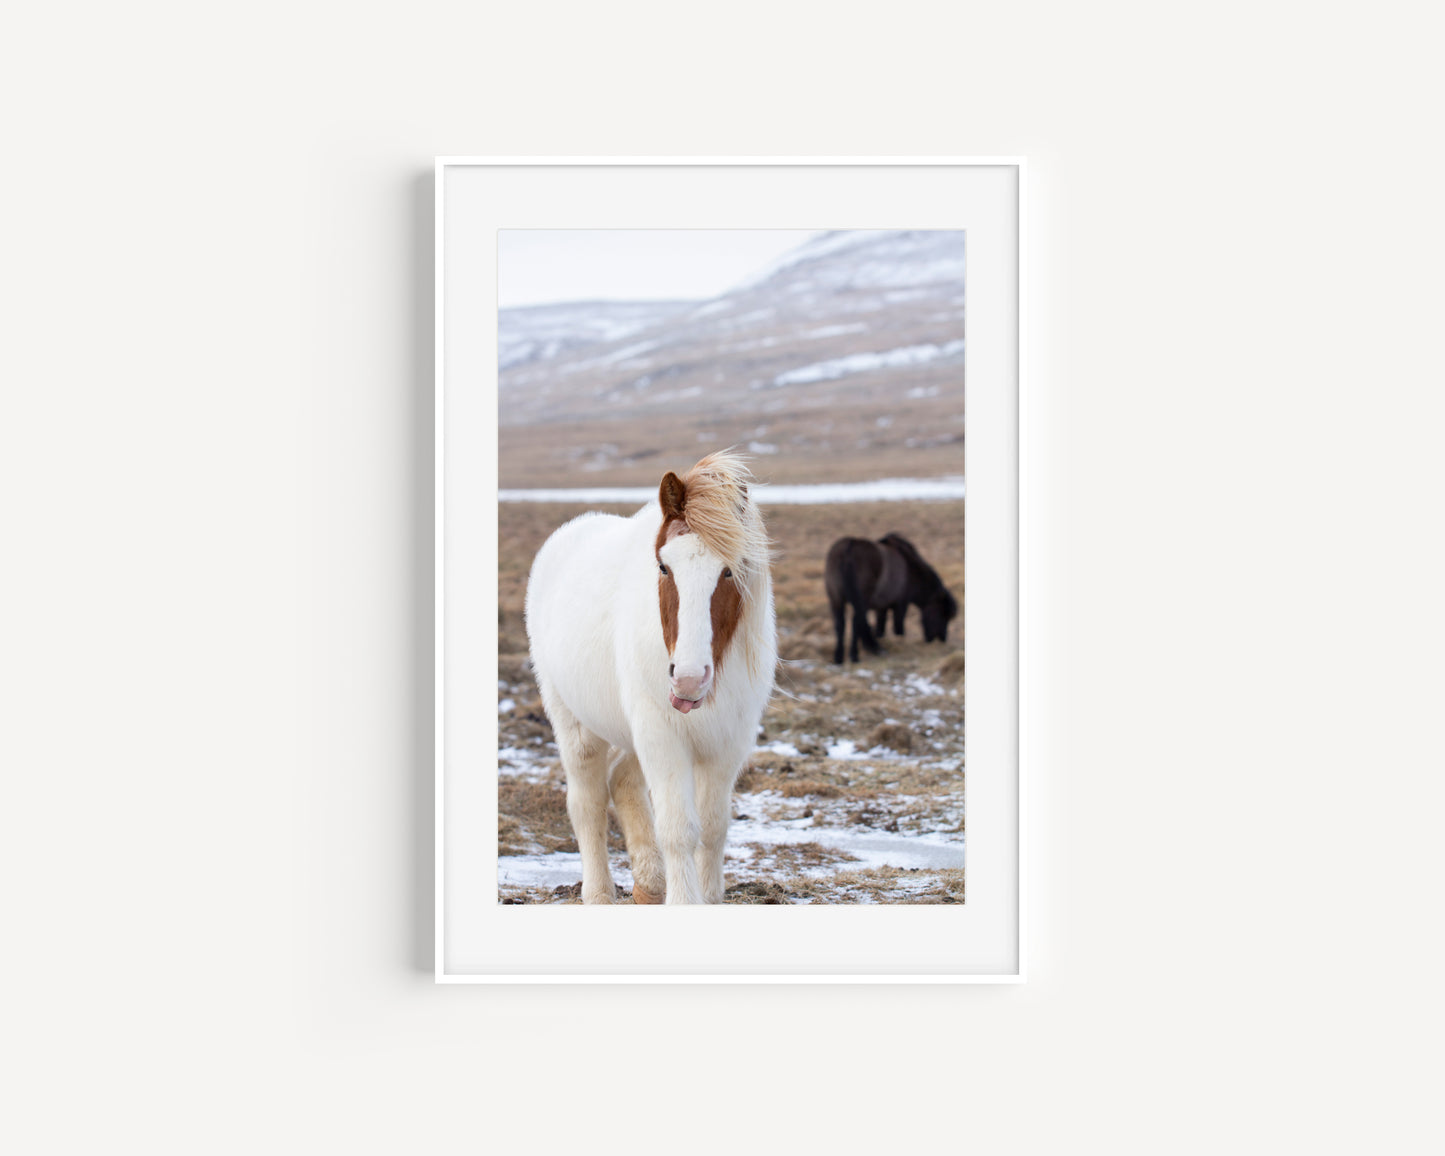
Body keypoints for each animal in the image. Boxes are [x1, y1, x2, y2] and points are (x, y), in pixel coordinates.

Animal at [524, 450, 777, 904]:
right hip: (576, 727)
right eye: (663, 566)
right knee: (587, 804)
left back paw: (649, 883)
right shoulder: (663, 737)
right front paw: (684, 901)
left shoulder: (728, 743)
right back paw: (599, 894)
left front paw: (707, 897)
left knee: (624, 782)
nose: (689, 679)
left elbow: (713, 828)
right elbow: (678, 831)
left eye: (729, 571)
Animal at [824, 531, 958, 664]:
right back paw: (854, 656)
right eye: (942, 614)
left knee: (840, 624)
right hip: (861, 603)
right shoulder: (901, 604)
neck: (909, 568)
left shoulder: (881, 607)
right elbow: (898, 627)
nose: (941, 639)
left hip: (836, 600)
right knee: (856, 622)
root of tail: (848, 548)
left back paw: (839, 658)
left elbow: (880, 627)